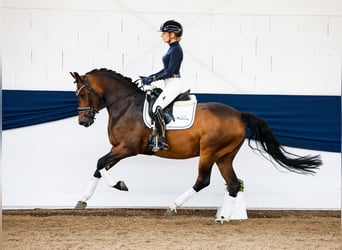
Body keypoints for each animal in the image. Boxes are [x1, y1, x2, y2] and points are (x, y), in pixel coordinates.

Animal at [71, 68, 322, 223]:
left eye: (82, 94)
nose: (83, 121)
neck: (125, 104)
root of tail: (239, 114)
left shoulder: (127, 148)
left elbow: (100, 163)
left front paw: (120, 185)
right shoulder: (119, 149)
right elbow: (99, 167)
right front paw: (82, 201)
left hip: (209, 152)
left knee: (203, 180)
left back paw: (173, 207)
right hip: (224, 156)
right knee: (233, 184)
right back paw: (222, 218)